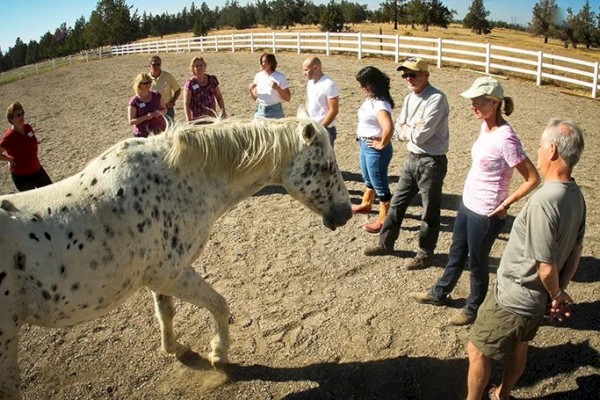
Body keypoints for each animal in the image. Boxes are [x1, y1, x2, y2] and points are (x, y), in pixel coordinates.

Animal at [0, 114, 352, 398]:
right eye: (324, 166)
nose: (346, 213)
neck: (176, 180)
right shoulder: (172, 273)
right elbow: (220, 305)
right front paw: (219, 354)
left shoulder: (158, 278)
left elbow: (165, 312)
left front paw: (175, 348)